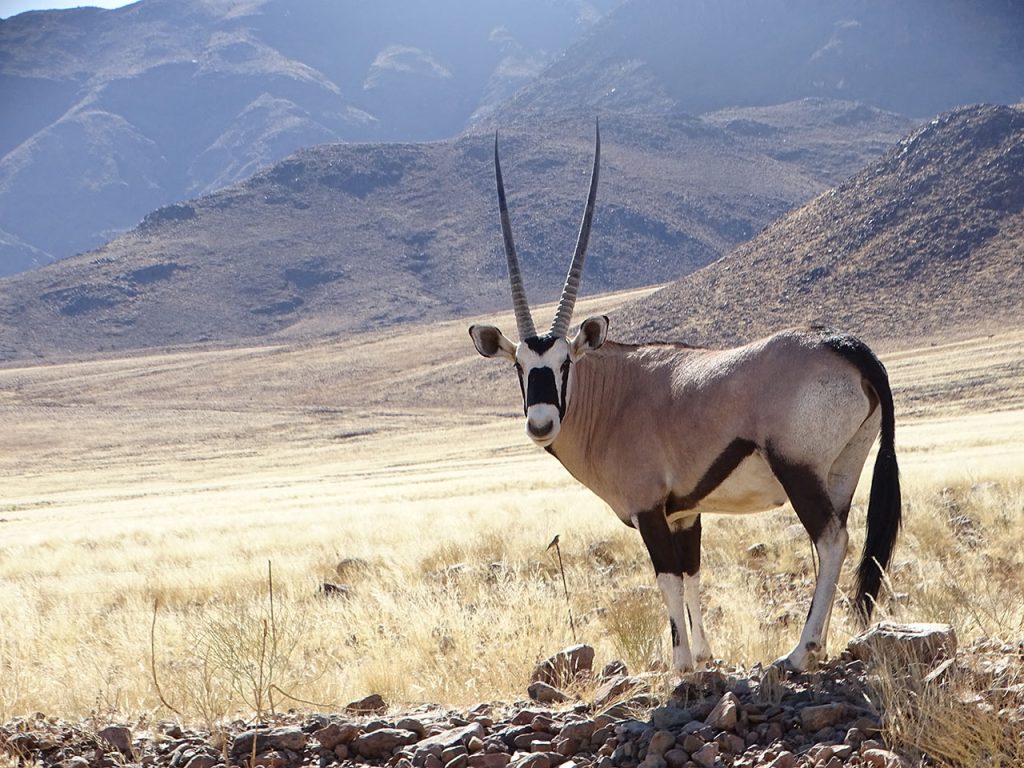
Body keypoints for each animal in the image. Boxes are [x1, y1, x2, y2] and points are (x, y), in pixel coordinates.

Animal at [469, 127, 902, 672]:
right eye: (520, 367)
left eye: (566, 362)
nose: (541, 424)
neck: (614, 396)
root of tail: (846, 346)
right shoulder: (685, 513)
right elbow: (694, 576)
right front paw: (705, 653)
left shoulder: (650, 510)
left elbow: (668, 581)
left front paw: (680, 663)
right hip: (844, 469)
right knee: (838, 541)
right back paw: (819, 641)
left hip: (798, 469)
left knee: (831, 539)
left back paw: (801, 650)